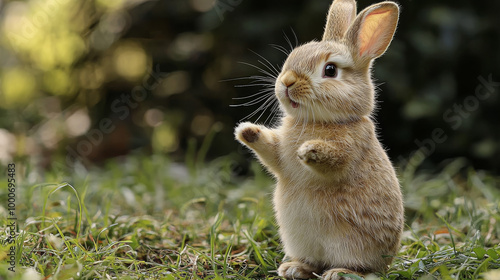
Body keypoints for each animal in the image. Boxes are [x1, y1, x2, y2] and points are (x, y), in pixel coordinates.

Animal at [235, 1, 406, 278]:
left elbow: (335, 160)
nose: (287, 81)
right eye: (294, 55)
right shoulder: (280, 157)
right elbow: (271, 152)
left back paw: (339, 272)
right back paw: (294, 268)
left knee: (363, 269)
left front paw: (309, 150)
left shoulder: (351, 150)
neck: (318, 121)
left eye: (330, 70)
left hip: (352, 244)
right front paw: (246, 131)